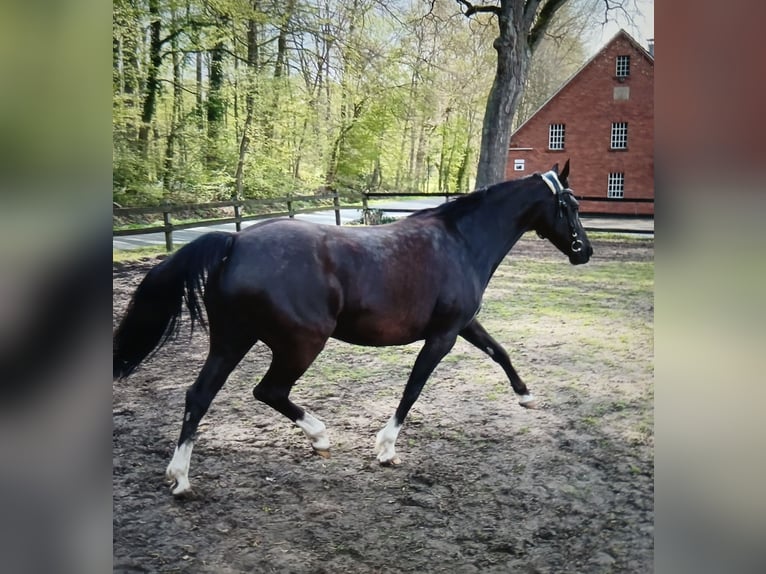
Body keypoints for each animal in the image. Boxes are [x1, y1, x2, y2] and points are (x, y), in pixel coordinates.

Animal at [114, 160, 592, 498]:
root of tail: (235, 241)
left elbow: (499, 352)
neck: (461, 242)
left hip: (232, 341)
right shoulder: (441, 336)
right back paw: (320, 437)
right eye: (570, 205)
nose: (584, 251)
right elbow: (414, 388)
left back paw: (180, 477)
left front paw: (526, 396)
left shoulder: (464, 325)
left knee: (200, 395)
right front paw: (386, 448)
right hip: (302, 343)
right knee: (268, 390)